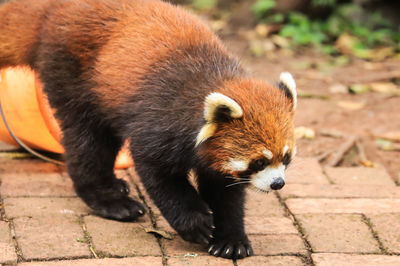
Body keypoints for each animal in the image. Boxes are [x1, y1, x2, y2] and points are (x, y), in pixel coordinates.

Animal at [0, 0, 296, 258]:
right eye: (259, 161)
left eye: (286, 158)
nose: (278, 183)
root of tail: (51, 10)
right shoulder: (160, 122)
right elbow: (159, 176)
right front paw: (196, 222)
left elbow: (226, 195)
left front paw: (230, 239)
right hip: (75, 73)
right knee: (89, 142)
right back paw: (111, 200)